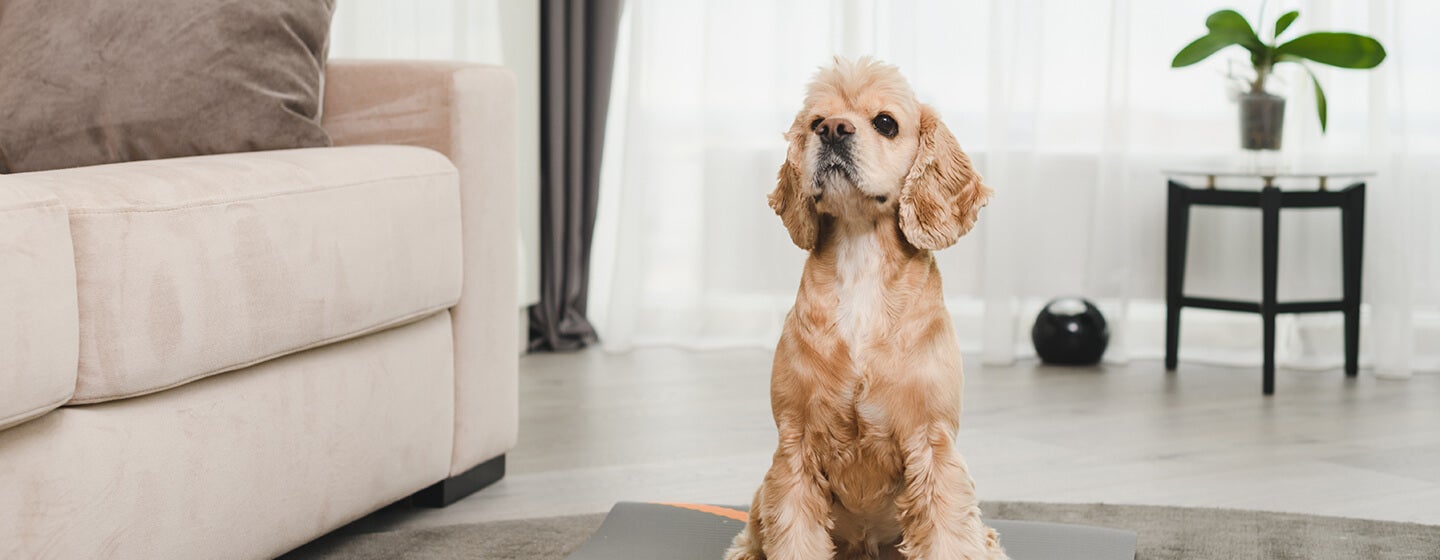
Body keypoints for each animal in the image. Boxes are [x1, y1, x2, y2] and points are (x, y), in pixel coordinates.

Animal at [725, 57, 1008, 558]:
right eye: (816, 122)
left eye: (886, 123)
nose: (833, 130)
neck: (861, 259)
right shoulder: (795, 448)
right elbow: (795, 538)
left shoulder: (933, 445)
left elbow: (946, 536)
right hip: (761, 498)